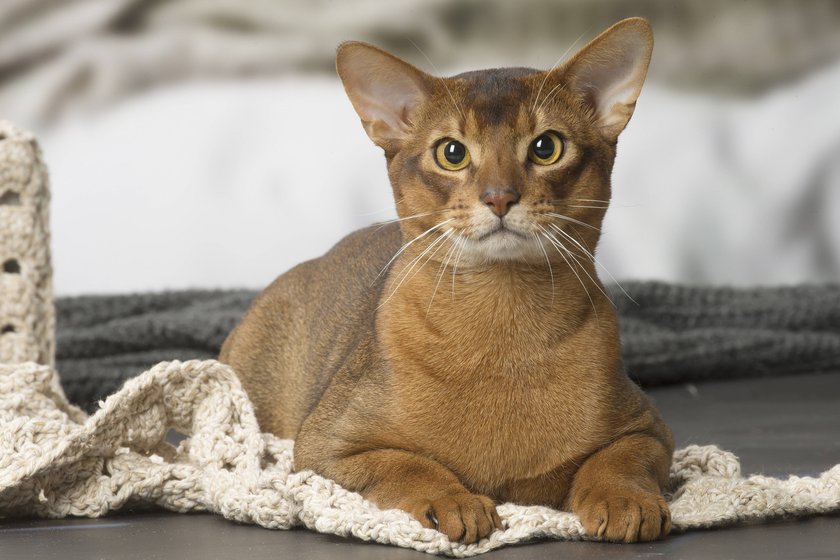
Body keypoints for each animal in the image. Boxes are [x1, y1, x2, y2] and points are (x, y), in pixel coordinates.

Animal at [220, 16, 672, 544]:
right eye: (452, 153)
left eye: (546, 147)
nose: (500, 197)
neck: (502, 329)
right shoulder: (324, 446)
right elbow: (407, 465)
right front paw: (453, 502)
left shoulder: (649, 429)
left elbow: (618, 461)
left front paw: (625, 501)